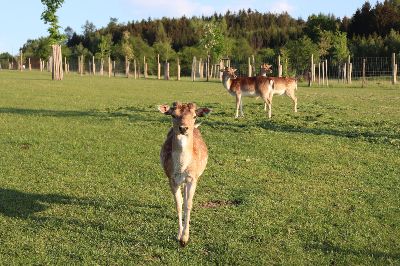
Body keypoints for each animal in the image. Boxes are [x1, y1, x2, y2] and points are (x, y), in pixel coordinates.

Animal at [158, 102, 211, 247]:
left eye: (194, 116)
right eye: (173, 115)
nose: (183, 128)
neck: (182, 168)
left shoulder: (193, 179)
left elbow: (188, 204)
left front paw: (185, 238)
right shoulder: (171, 178)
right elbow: (178, 204)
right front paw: (178, 235)